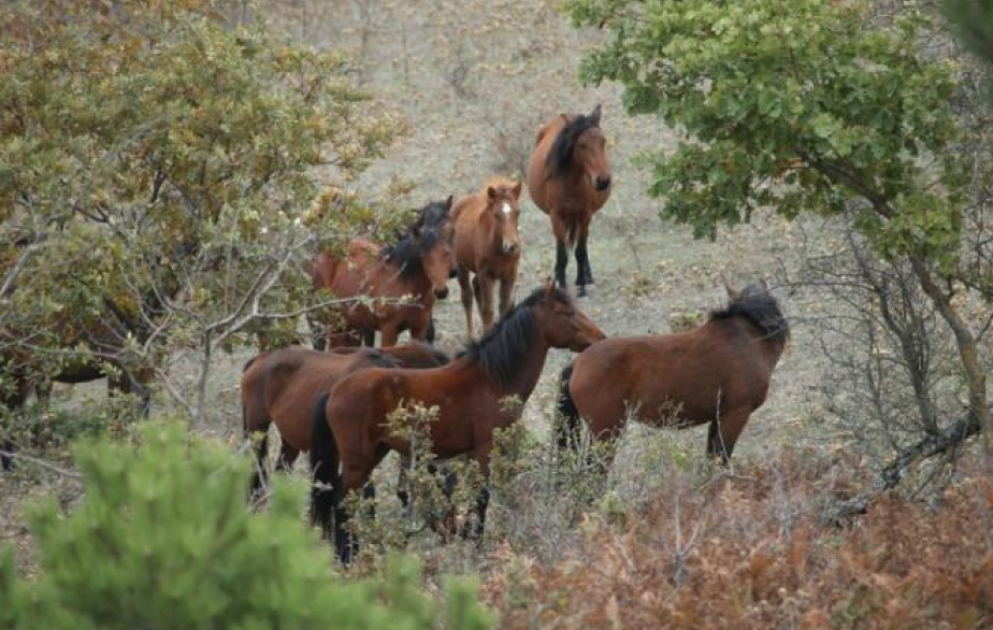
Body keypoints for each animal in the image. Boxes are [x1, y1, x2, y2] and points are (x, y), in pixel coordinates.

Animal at [309, 199, 454, 348]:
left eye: (447, 253)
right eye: (422, 255)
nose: (441, 291)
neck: (404, 280)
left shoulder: (419, 329)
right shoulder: (389, 330)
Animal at [310, 283, 606, 562]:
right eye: (566, 312)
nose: (600, 338)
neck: (491, 379)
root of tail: (334, 390)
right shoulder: (485, 450)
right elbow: (482, 498)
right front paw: (476, 547)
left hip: (375, 453)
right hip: (359, 458)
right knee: (341, 500)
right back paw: (347, 557)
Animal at [451, 178, 523, 338]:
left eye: (517, 212)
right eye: (496, 215)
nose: (511, 246)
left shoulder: (510, 275)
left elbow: (503, 307)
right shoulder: (487, 275)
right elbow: (488, 311)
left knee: (476, 288)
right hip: (461, 265)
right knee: (467, 297)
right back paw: (471, 336)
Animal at [526, 104, 612, 297]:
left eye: (603, 141)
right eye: (581, 145)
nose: (603, 181)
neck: (571, 182)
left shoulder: (585, 215)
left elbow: (580, 251)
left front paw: (581, 286)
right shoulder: (556, 216)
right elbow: (562, 253)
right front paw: (561, 284)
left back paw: (588, 277)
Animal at [557, 281, 789, 468]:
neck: (747, 337)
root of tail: (577, 362)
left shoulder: (717, 418)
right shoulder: (735, 415)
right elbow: (721, 459)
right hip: (606, 433)